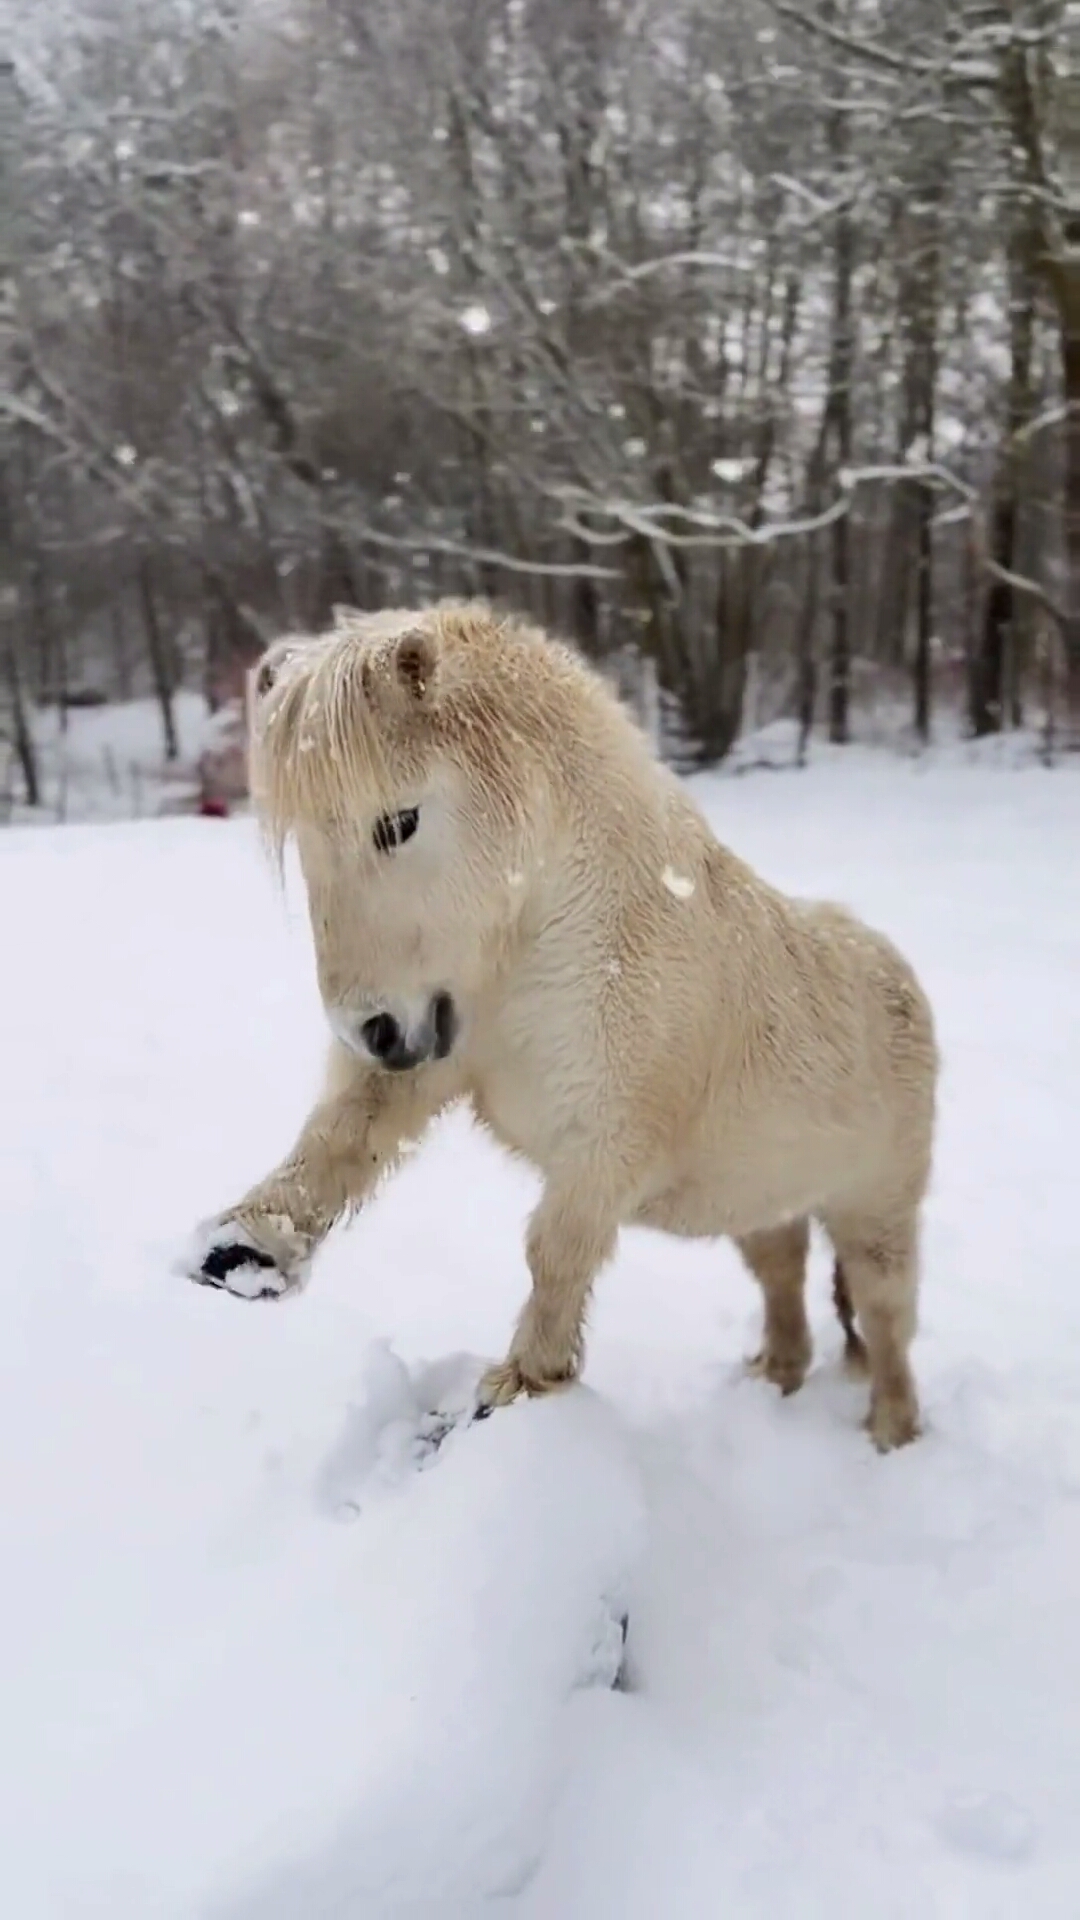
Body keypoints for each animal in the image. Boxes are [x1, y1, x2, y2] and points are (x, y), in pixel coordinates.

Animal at [182, 595, 933, 1443]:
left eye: (398, 822)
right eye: (302, 841)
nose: (375, 1033)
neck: (564, 936)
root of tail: (896, 973)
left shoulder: (605, 1144)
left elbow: (554, 1252)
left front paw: (520, 1383)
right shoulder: (437, 1045)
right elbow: (340, 1142)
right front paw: (244, 1250)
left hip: (875, 1211)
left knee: (883, 1318)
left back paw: (890, 1433)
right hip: (763, 1203)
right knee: (782, 1282)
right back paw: (775, 1379)